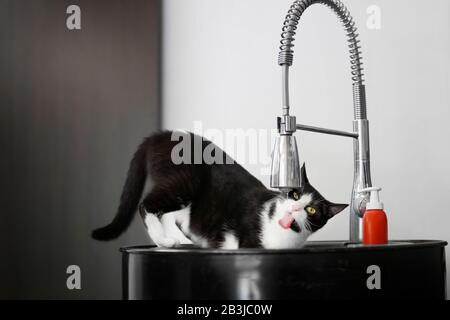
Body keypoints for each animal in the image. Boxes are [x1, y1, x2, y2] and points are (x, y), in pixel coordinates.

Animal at [90, 131, 344, 249]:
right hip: (185, 182)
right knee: (147, 205)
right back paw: (164, 241)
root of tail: (161, 135)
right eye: (295, 194)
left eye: (312, 210)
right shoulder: (249, 243)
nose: (295, 207)